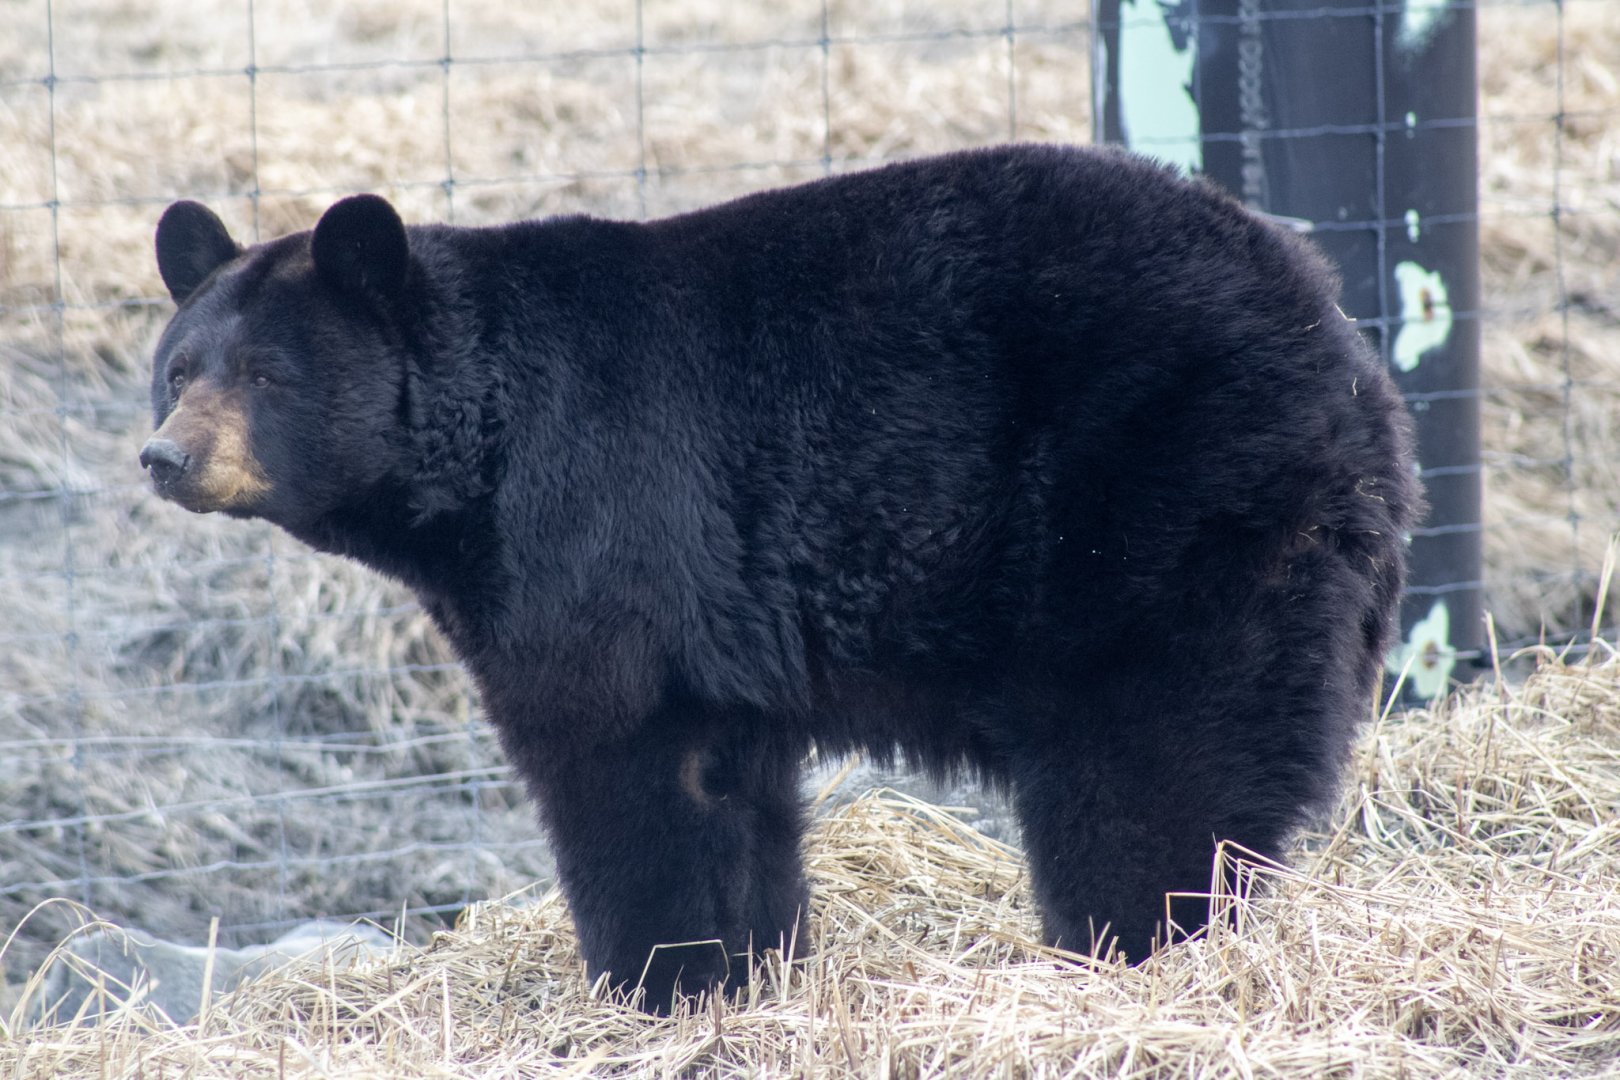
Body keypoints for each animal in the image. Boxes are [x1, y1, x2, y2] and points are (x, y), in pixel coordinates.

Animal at [141, 144, 1419, 1013]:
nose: (165, 458)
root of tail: (1347, 360)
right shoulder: (721, 623)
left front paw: (654, 984)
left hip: (1157, 506)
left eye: (266, 373)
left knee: (1151, 764)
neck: (473, 461)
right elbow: (731, 787)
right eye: (178, 368)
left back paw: (1135, 943)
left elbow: (623, 761)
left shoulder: (600, 515)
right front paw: (750, 977)